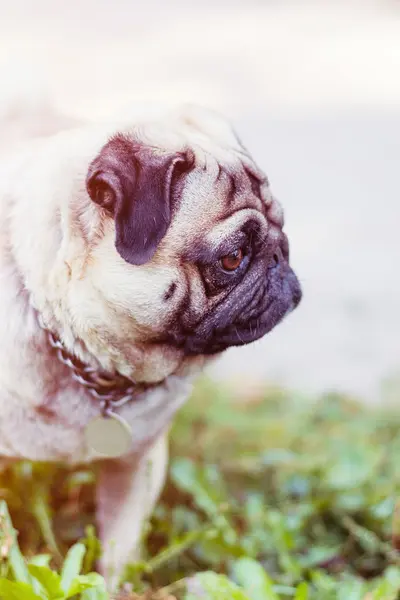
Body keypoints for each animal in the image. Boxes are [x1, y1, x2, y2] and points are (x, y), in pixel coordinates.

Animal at [0, 101, 300, 588]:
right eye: (232, 258)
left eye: (282, 228)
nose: (280, 259)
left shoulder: (137, 461)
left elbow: (121, 549)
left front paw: (116, 589)